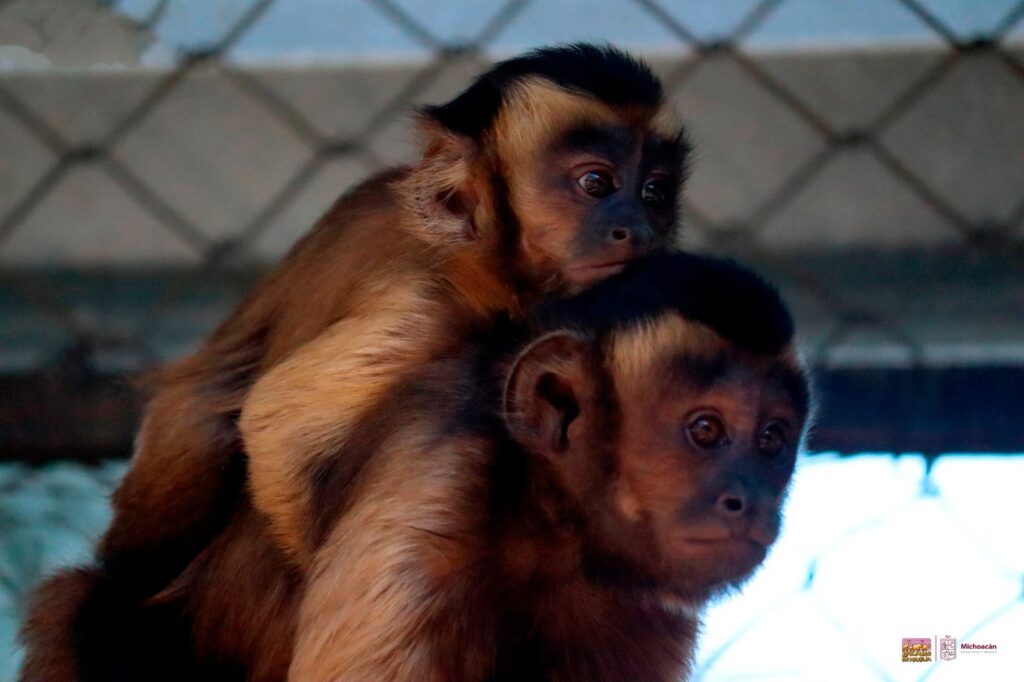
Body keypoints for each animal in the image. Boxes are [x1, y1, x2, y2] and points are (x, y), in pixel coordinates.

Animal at [19, 250, 806, 679]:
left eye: (772, 440)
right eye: (705, 431)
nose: (751, 499)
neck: (544, 523)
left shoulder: (639, 604)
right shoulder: (432, 482)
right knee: (85, 606)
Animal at [83, 43, 688, 593]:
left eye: (654, 192)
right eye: (595, 184)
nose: (637, 228)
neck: (464, 257)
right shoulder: (421, 303)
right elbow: (277, 429)